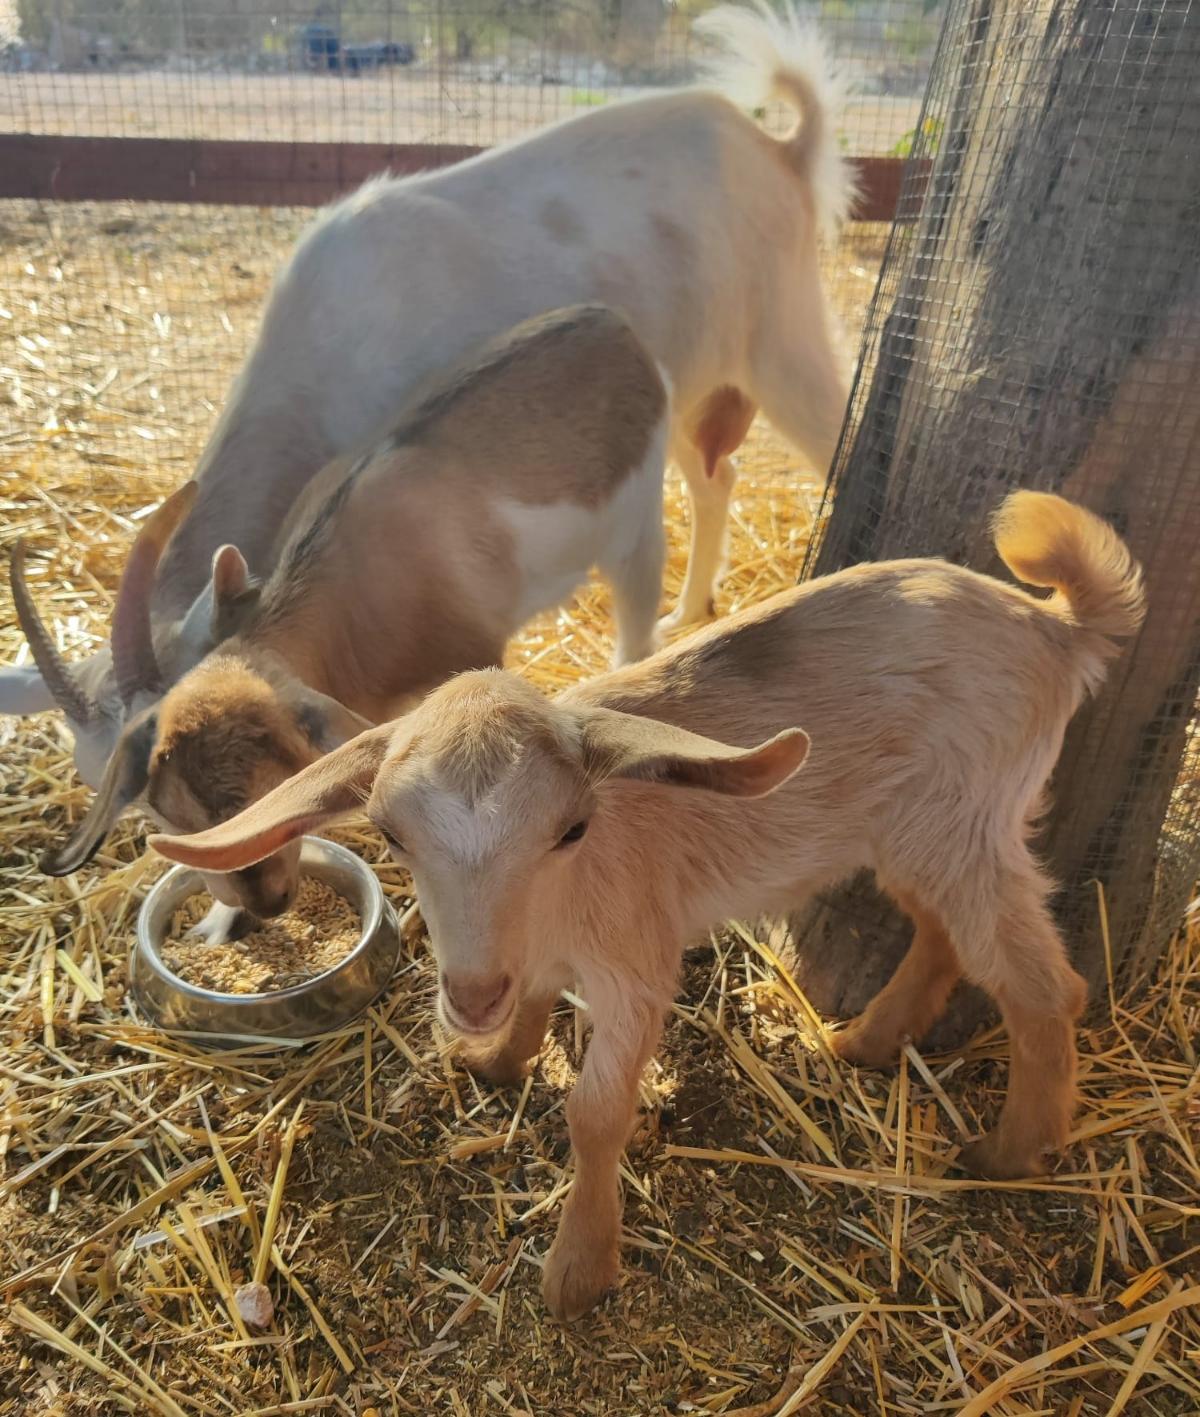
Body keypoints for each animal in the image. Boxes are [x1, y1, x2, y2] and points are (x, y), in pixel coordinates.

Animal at [3, 0, 852, 789]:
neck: (325, 351)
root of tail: (780, 149)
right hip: (678, 382)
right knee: (715, 477)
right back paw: (690, 608)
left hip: (783, 339)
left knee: (827, 438)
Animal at [153, 491, 1144, 1319]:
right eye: (390, 835)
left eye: (573, 828)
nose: (469, 996)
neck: (557, 909)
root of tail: (1055, 627)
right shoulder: (537, 959)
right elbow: (535, 1004)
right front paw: (496, 1061)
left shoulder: (637, 963)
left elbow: (595, 1116)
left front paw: (578, 1273)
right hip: (918, 829)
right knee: (942, 929)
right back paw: (865, 1042)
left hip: (966, 817)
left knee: (1040, 984)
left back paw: (1009, 1152)